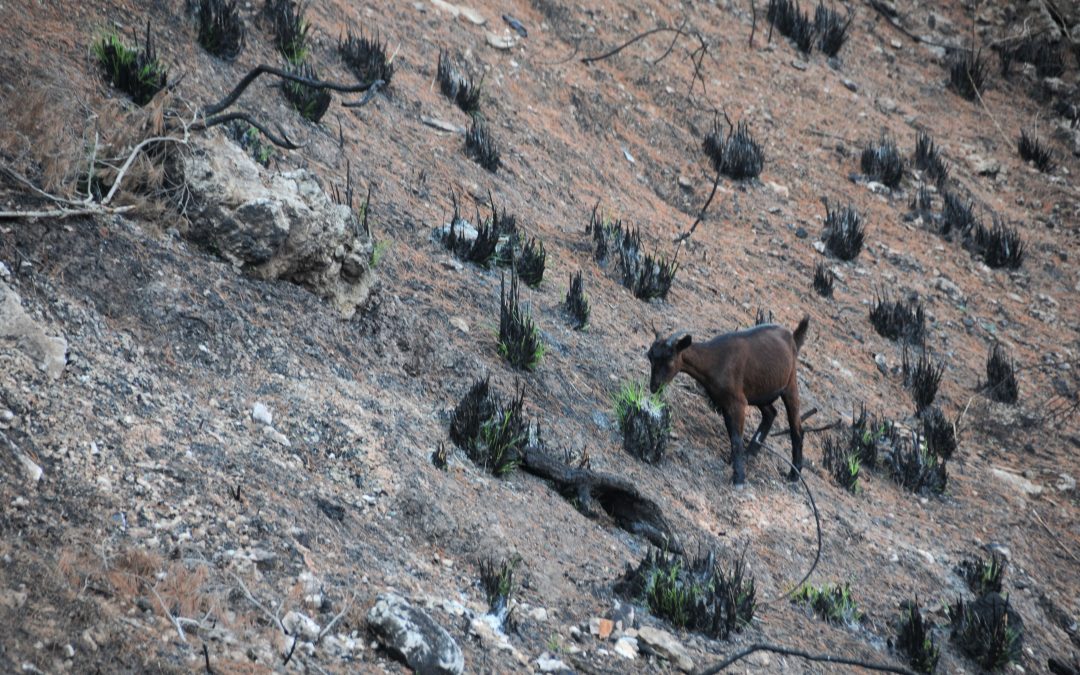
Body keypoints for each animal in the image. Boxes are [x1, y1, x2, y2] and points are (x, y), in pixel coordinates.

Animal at [639, 315, 812, 483]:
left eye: (670, 359)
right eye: (650, 356)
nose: (654, 386)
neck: (715, 361)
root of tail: (793, 337)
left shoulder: (738, 402)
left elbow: (736, 439)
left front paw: (739, 479)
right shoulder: (725, 402)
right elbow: (732, 434)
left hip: (790, 384)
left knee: (797, 428)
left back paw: (794, 475)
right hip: (759, 391)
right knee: (771, 413)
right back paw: (750, 454)